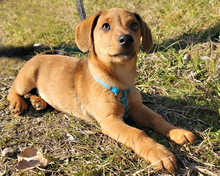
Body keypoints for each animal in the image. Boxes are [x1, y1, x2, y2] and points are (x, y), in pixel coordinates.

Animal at [7, 7, 196, 172]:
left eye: (134, 25)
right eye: (105, 26)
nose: (126, 39)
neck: (119, 82)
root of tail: (39, 55)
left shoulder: (137, 108)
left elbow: (157, 118)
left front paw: (177, 132)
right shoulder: (110, 120)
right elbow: (137, 133)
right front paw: (160, 153)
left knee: (34, 92)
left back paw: (38, 101)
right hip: (27, 78)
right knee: (13, 91)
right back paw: (18, 103)